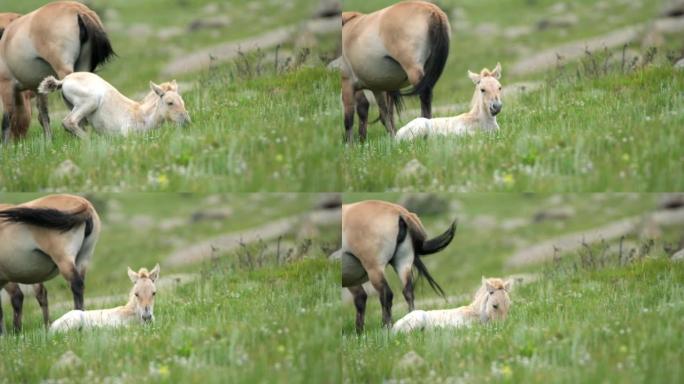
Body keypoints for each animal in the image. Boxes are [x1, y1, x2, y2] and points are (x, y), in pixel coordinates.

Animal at [0, 1, 115, 142]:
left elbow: (7, 119)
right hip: (83, 69)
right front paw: (49, 141)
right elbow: (43, 115)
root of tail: (79, 10)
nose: (18, 140)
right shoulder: (39, 87)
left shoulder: (6, 85)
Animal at [0, 194, 101, 334]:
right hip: (83, 259)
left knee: (76, 285)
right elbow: (40, 294)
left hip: (64, 260)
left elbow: (15, 299)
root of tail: (83, 203)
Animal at [38, 72, 191, 138]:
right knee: (68, 121)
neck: (142, 116)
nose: (187, 122)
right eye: (170, 102)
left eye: (182, 101)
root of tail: (64, 80)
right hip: (90, 101)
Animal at [340, 0, 448, 142]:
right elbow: (384, 115)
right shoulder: (377, 87)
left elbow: (349, 119)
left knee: (425, 96)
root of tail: (432, 10)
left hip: (414, 73)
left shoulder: (347, 84)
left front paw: (351, 145)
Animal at [340, 201, 454, 332]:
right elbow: (360, 298)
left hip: (374, 269)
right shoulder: (350, 279)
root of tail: (399, 212)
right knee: (408, 292)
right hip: (403, 263)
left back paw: (385, 327)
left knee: (386, 294)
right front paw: (359, 332)